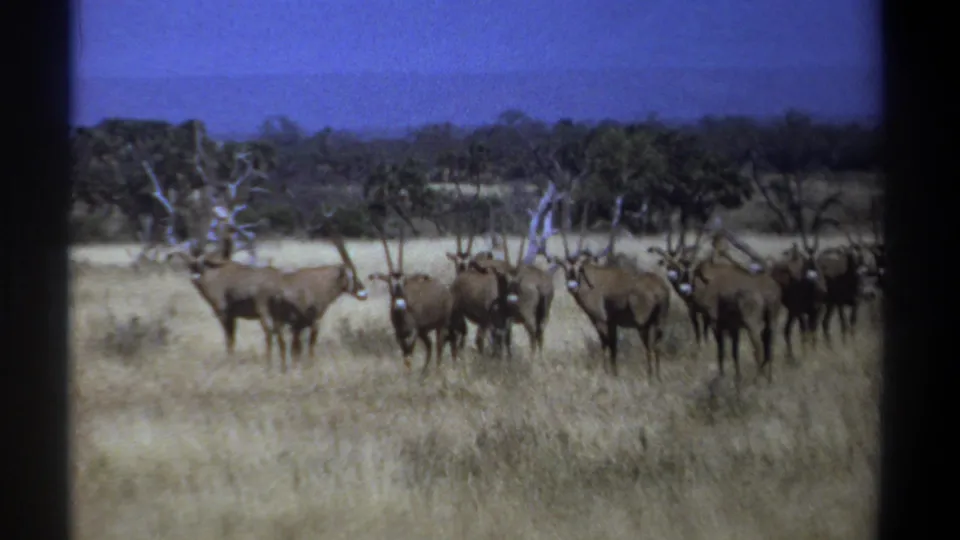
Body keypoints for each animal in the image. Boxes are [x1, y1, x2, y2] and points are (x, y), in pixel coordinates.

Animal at [368, 226, 465, 375]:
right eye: (389, 283)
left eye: (404, 282)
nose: (400, 304)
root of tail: (444, 289)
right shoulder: (399, 334)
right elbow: (405, 355)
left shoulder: (413, 332)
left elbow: (409, 355)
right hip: (424, 331)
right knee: (430, 346)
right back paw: (424, 372)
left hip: (440, 326)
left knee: (439, 347)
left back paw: (437, 370)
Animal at [549, 196, 671, 379]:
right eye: (564, 268)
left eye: (579, 267)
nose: (572, 286)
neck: (590, 278)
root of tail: (659, 289)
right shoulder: (613, 323)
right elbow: (614, 348)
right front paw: (614, 373)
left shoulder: (601, 320)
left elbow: (605, 344)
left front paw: (605, 372)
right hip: (660, 323)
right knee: (658, 347)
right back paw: (657, 377)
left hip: (643, 325)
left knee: (649, 347)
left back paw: (649, 378)